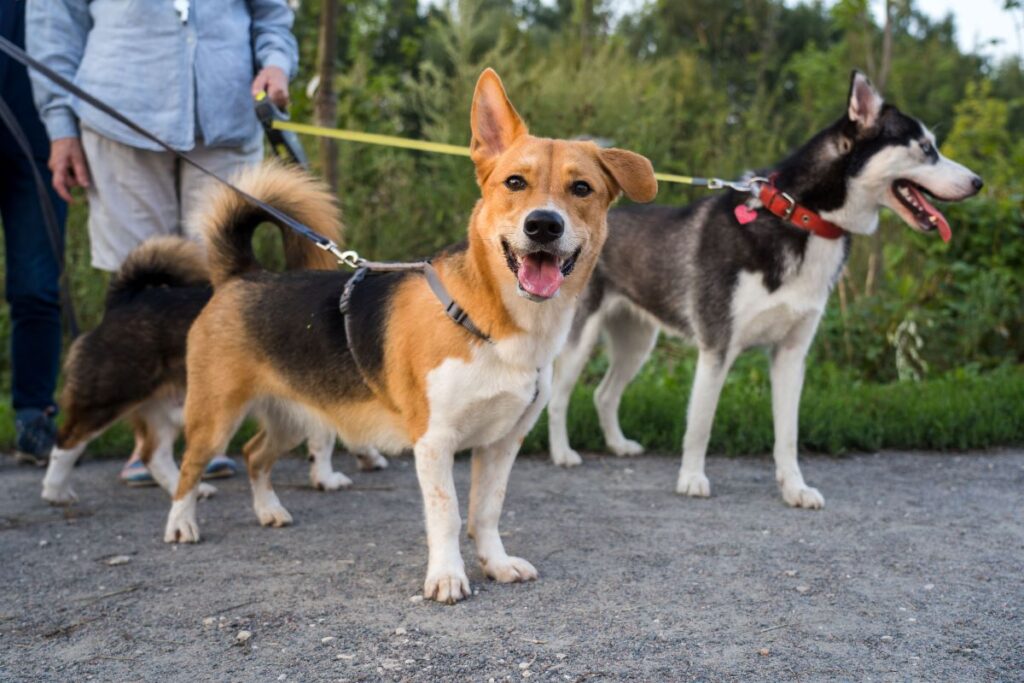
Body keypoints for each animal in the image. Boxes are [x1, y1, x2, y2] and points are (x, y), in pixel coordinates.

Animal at [159, 69, 655, 602]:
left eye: (581, 188)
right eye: (514, 183)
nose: (543, 225)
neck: (492, 323)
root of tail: (242, 275)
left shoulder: (503, 442)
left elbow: (487, 511)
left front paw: (496, 563)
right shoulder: (434, 443)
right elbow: (448, 514)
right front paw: (447, 576)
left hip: (294, 413)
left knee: (255, 456)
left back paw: (269, 510)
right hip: (215, 416)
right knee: (189, 469)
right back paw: (181, 524)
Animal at [548, 72, 978, 507]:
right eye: (925, 148)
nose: (977, 182)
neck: (801, 217)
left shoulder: (791, 354)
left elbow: (787, 436)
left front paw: (795, 488)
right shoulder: (717, 349)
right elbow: (700, 424)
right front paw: (692, 478)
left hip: (637, 342)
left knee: (604, 394)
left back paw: (618, 445)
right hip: (579, 341)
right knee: (559, 397)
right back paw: (563, 453)